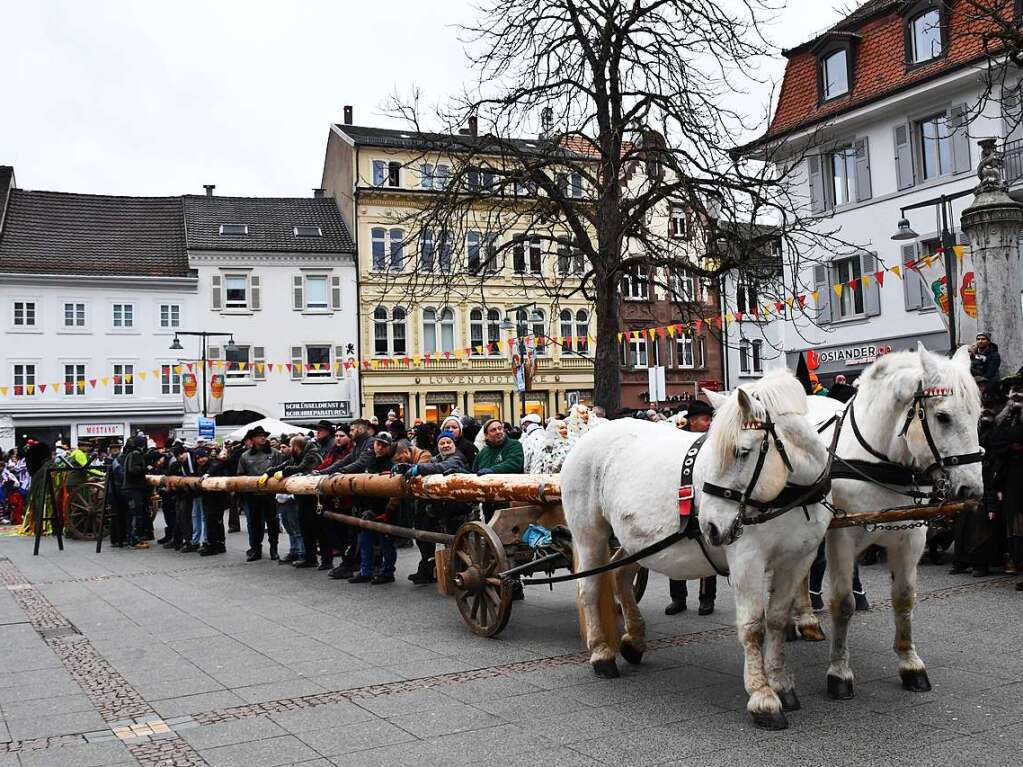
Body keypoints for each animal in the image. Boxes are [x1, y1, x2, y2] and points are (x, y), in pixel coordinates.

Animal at [564, 372, 834, 732]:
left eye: (741, 452)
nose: (711, 527)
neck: (790, 494)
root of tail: (591, 435)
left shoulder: (797, 560)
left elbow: (776, 620)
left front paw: (781, 684)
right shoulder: (747, 562)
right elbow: (753, 627)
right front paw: (762, 697)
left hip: (636, 543)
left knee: (620, 574)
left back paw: (634, 640)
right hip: (589, 535)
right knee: (590, 588)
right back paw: (601, 654)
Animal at [797, 347, 982, 703]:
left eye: (978, 415)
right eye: (943, 417)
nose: (972, 490)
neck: (878, 461)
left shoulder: (911, 537)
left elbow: (904, 598)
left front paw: (910, 664)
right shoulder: (842, 538)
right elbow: (843, 604)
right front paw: (839, 672)